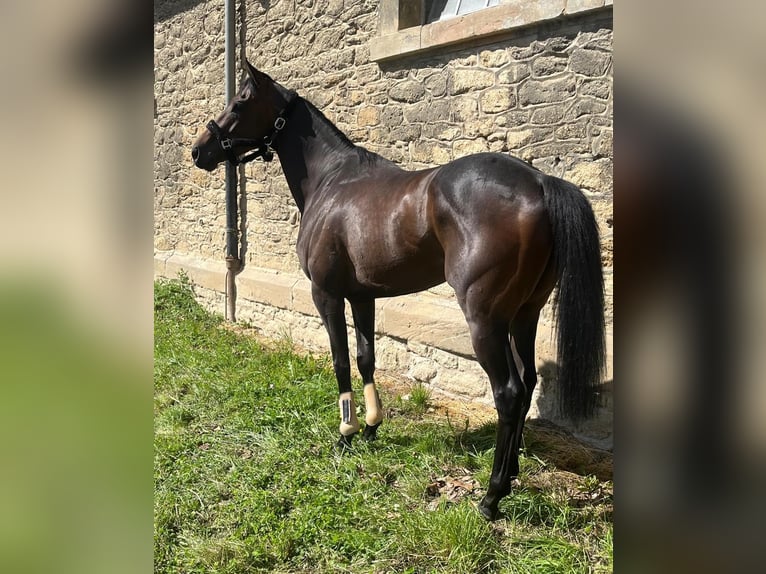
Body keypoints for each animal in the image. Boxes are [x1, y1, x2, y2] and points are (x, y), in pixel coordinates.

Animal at [192, 62, 608, 520]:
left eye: (239, 102)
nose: (199, 151)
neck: (332, 181)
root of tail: (538, 181)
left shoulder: (326, 295)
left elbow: (340, 361)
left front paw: (347, 432)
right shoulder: (362, 296)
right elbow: (365, 358)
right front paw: (372, 426)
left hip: (485, 321)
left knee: (510, 392)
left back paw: (492, 495)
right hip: (525, 314)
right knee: (529, 381)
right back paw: (512, 470)